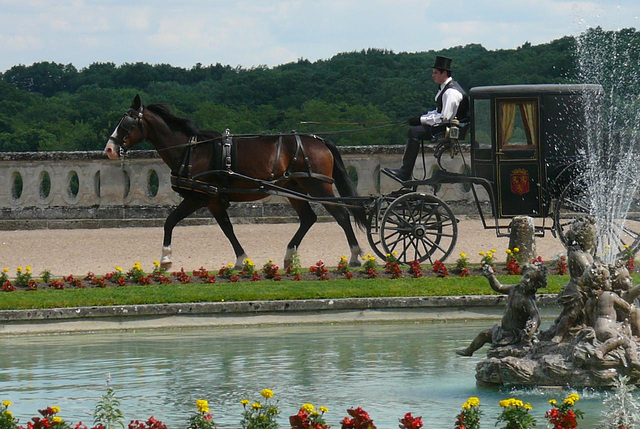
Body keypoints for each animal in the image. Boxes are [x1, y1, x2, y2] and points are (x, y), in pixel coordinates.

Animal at [104, 95, 364, 270]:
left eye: (126, 124)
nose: (109, 149)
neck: (191, 151)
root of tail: (319, 140)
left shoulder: (200, 197)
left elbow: (171, 222)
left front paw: (166, 259)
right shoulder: (214, 201)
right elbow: (226, 228)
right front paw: (242, 259)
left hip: (318, 186)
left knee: (341, 215)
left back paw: (355, 255)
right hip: (294, 189)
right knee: (308, 218)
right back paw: (290, 256)